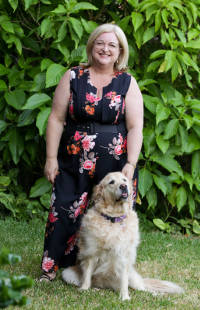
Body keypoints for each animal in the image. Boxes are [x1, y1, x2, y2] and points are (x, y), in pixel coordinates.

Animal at [61, 171, 184, 300]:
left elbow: (124, 281)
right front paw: (84, 289)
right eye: (111, 182)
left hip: (133, 277)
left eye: (124, 180)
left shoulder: (124, 256)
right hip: (67, 274)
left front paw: (124, 298)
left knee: (143, 288)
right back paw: (95, 289)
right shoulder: (91, 252)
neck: (113, 218)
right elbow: (87, 274)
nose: (123, 186)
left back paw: (156, 294)